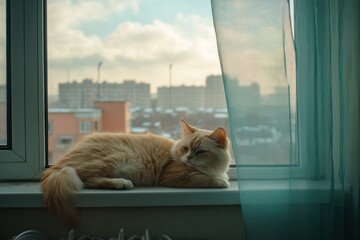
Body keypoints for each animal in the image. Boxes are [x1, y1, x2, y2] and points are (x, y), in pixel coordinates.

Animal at [40, 119, 231, 226]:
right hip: (117, 156)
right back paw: (121, 183)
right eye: (186, 149)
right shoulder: (174, 175)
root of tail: (59, 163)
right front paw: (220, 182)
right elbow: (203, 178)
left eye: (200, 152)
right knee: (86, 179)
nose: (188, 158)